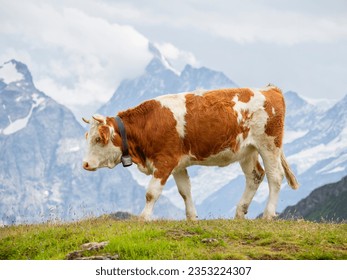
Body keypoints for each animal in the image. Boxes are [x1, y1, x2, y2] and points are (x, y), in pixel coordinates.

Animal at [81, 85, 300, 221]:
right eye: (88, 137)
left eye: (98, 139)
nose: (85, 164)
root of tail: (270, 89)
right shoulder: (178, 164)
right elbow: (185, 191)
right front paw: (192, 217)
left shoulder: (165, 162)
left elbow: (152, 193)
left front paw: (143, 218)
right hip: (247, 150)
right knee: (255, 176)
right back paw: (239, 212)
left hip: (269, 144)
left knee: (275, 177)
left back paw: (268, 214)